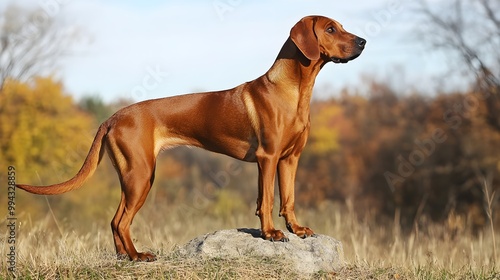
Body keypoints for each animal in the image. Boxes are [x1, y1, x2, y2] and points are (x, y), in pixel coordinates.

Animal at [17, 14, 366, 260]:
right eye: (330, 29)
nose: (363, 41)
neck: (293, 92)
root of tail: (111, 117)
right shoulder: (267, 157)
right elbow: (266, 200)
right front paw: (270, 233)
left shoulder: (290, 159)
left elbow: (289, 199)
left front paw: (296, 229)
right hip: (141, 175)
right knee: (121, 221)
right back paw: (137, 256)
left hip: (134, 176)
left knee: (116, 219)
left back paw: (124, 257)